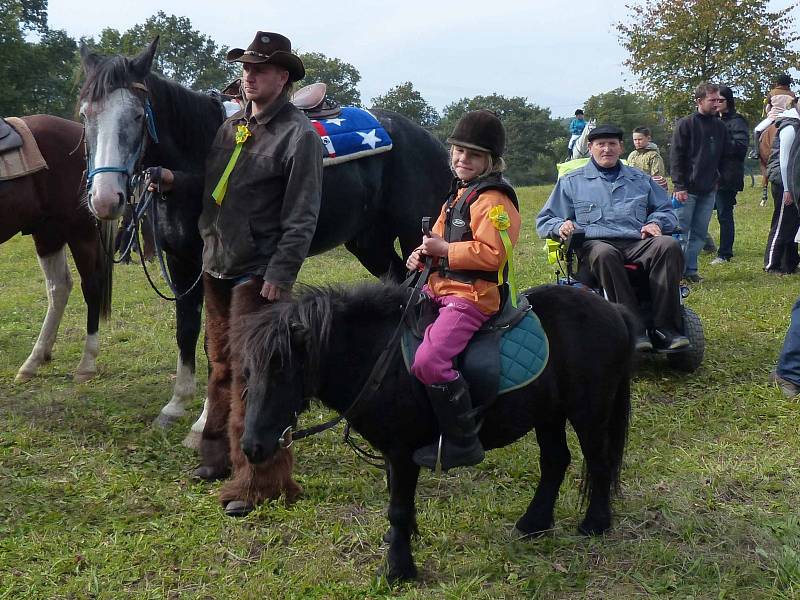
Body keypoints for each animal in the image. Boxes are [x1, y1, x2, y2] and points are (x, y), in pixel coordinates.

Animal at [0, 115, 114, 382]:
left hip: (79, 231)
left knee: (90, 286)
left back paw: (86, 362)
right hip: (48, 233)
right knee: (58, 287)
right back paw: (35, 359)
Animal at [78, 39, 454, 438]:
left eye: (137, 116)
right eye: (86, 114)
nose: (105, 199)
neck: (200, 156)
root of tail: (432, 140)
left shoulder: (215, 268)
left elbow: (216, 341)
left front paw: (205, 422)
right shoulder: (182, 263)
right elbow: (186, 331)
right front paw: (175, 405)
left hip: (416, 235)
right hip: (371, 243)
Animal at [238, 284, 636, 584]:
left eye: (283, 369)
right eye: (248, 371)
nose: (252, 447)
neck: (381, 358)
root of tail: (614, 310)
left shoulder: (402, 451)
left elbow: (398, 508)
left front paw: (398, 569)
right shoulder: (392, 454)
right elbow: (398, 503)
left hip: (588, 411)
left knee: (598, 461)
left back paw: (595, 523)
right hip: (548, 414)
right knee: (555, 461)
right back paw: (533, 523)